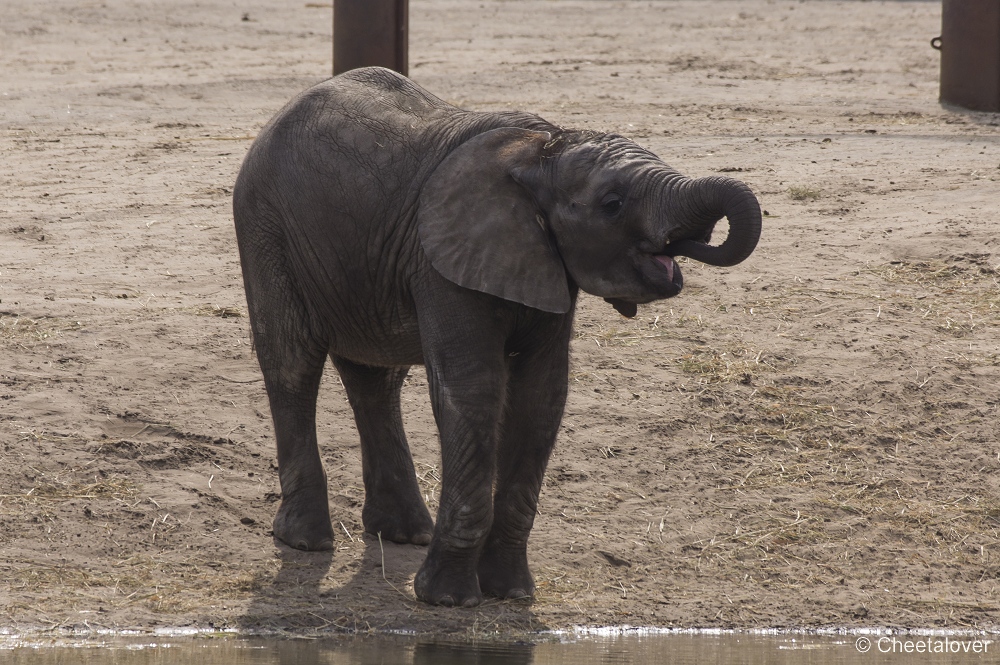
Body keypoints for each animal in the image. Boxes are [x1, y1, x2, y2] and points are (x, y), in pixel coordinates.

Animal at [234, 67, 760, 608]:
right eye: (612, 205)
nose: (690, 244)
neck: (541, 150)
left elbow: (540, 396)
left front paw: (511, 593)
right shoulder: (440, 259)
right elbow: (475, 391)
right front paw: (449, 599)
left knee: (375, 378)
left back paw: (404, 534)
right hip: (265, 226)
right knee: (293, 362)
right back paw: (306, 540)